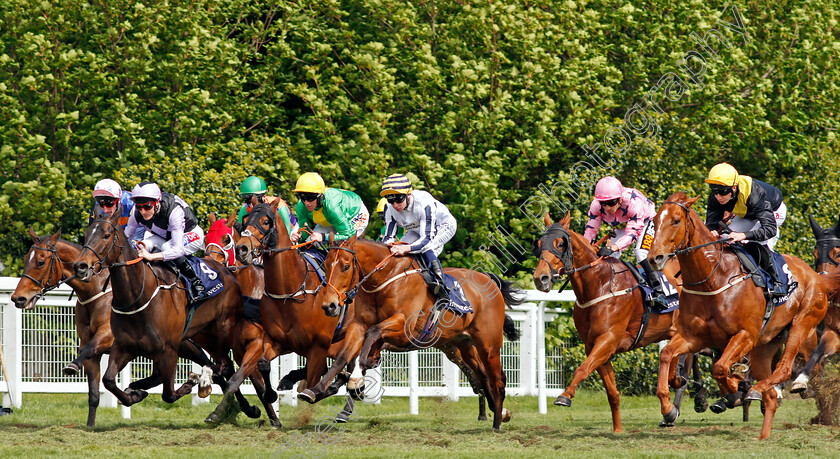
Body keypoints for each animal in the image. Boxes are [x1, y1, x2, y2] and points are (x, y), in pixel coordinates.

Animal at [71, 207, 276, 422]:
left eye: (106, 235)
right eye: (86, 234)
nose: (80, 266)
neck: (137, 297)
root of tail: (228, 273)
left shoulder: (168, 350)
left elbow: (168, 394)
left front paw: (191, 383)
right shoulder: (124, 346)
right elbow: (109, 380)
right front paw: (134, 394)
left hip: (221, 332)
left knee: (224, 367)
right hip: (197, 340)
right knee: (221, 367)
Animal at [296, 235, 520, 434]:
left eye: (345, 266)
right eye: (326, 265)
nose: (330, 305)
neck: (386, 279)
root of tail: (490, 280)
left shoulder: (404, 328)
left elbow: (372, 335)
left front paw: (356, 378)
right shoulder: (357, 326)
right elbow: (343, 356)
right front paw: (315, 390)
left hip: (488, 346)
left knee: (497, 378)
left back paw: (497, 423)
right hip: (464, 346)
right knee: (482, 377)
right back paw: (500, 413)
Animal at [532, 214, 696, 434]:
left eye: (560, 244)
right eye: (540, 244)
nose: (540, 278)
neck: (600, 285)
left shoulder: (608, 339)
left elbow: (582, 369)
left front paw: (564, 396)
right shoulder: (594, 345)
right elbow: (612, 392)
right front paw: (618, 429)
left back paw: (670, 404)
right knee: (673, 357)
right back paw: (675, 385)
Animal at [644, 192, 832, 440]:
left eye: (676, 220)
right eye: (655, 222)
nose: (654, 258)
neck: (714, 278)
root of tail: (818, 277)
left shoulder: (745, 335)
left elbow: (720, 368)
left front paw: (734, 387)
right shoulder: (693, 336)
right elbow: (667, 355)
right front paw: (669, 405)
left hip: (801, 326)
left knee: (784, 369)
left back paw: (756, 389)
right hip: (765, 345)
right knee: (771, 395)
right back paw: (763, 432)